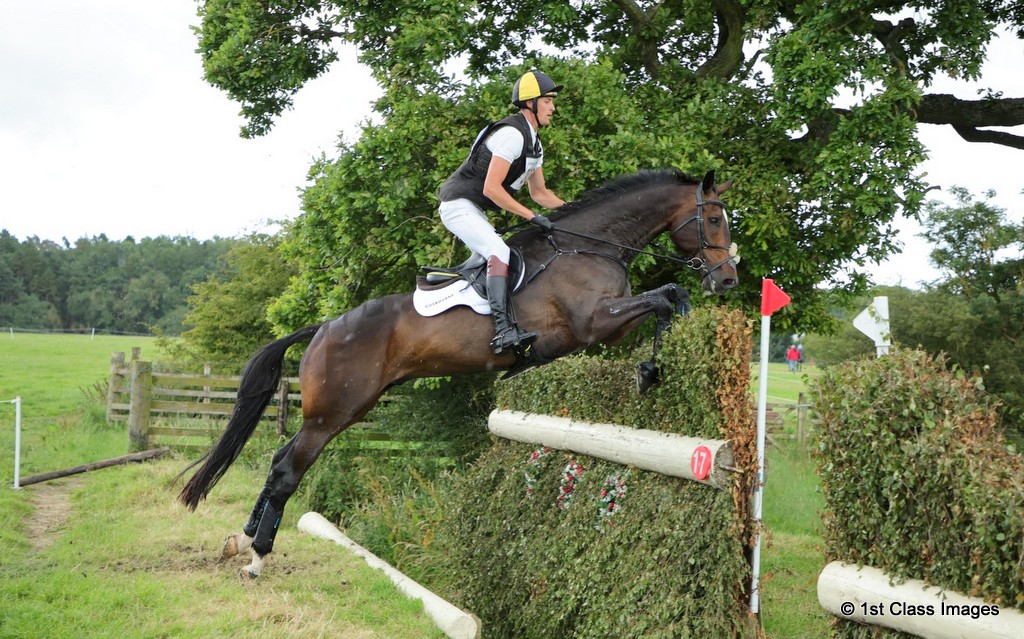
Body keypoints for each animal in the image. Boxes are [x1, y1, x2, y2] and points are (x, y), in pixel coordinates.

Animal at [178, 169, 739, 578]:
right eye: (714, 220)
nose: (728, 279)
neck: (591, 246)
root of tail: (324, 326)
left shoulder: (609, 328)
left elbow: (667, 299)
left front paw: (660, 360)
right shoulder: (593, 323)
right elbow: (666, 296)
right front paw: (652, 369)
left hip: (343, 409)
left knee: (279, 460)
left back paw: (245, 538)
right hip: (333, 412)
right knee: (288, 470)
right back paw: (258, 556)